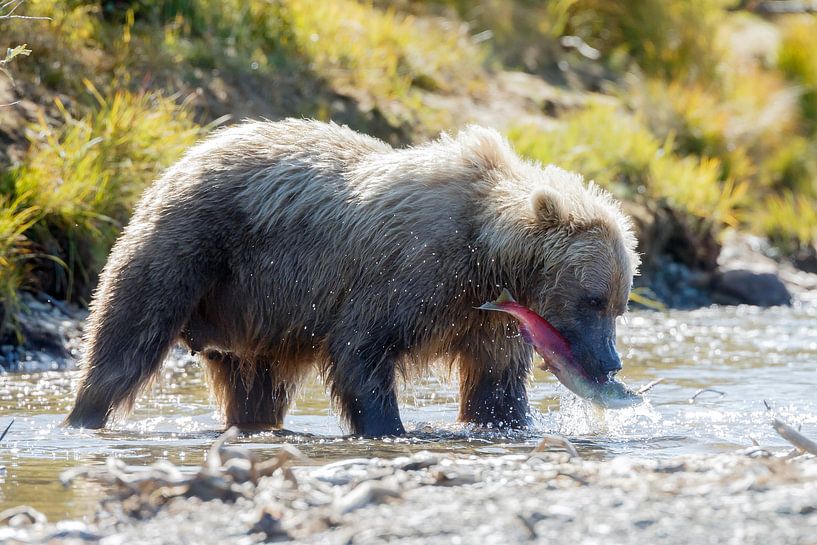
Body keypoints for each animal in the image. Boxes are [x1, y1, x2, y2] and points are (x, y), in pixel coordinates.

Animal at [65, 118, 636, 434]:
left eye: (619, 303)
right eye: (593, 299)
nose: (611, 361)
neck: (487, 256)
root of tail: (189, 152)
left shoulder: (486, 318)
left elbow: (495, 385)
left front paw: (506, 420)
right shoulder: (411, 271)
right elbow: (362, 349)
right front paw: (391, 427)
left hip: (257, 318)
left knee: (256, 385)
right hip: (191, 248)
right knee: (127, 339)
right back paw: (83, 415)